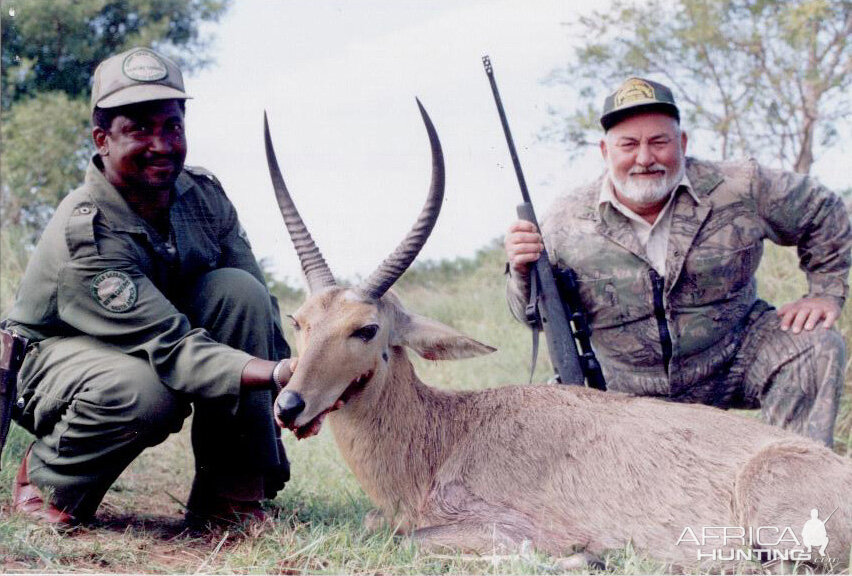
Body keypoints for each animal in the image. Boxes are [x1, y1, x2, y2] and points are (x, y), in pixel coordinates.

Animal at [262, 101, 848, 568]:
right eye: (299, 321)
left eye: (366, 328)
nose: (288, 405)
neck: (445, 433)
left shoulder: (494, 526)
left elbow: (415, 539)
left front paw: (587, 556)